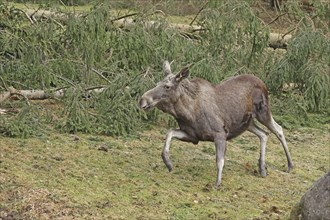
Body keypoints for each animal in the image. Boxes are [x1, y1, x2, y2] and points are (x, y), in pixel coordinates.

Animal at [138, 60, 292, 187]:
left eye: (167, 86)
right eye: (157, 83)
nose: (142, 100)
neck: (187, 112)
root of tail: (262, 81)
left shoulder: (220, 134)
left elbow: (219, 159)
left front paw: (217, 183)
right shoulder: (193, 136)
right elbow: (169, 133)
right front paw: (168, 163)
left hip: (263, 112)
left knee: (278, 129)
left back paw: (290, 165)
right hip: (248, 123)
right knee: (264, 134)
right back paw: (262, 168)